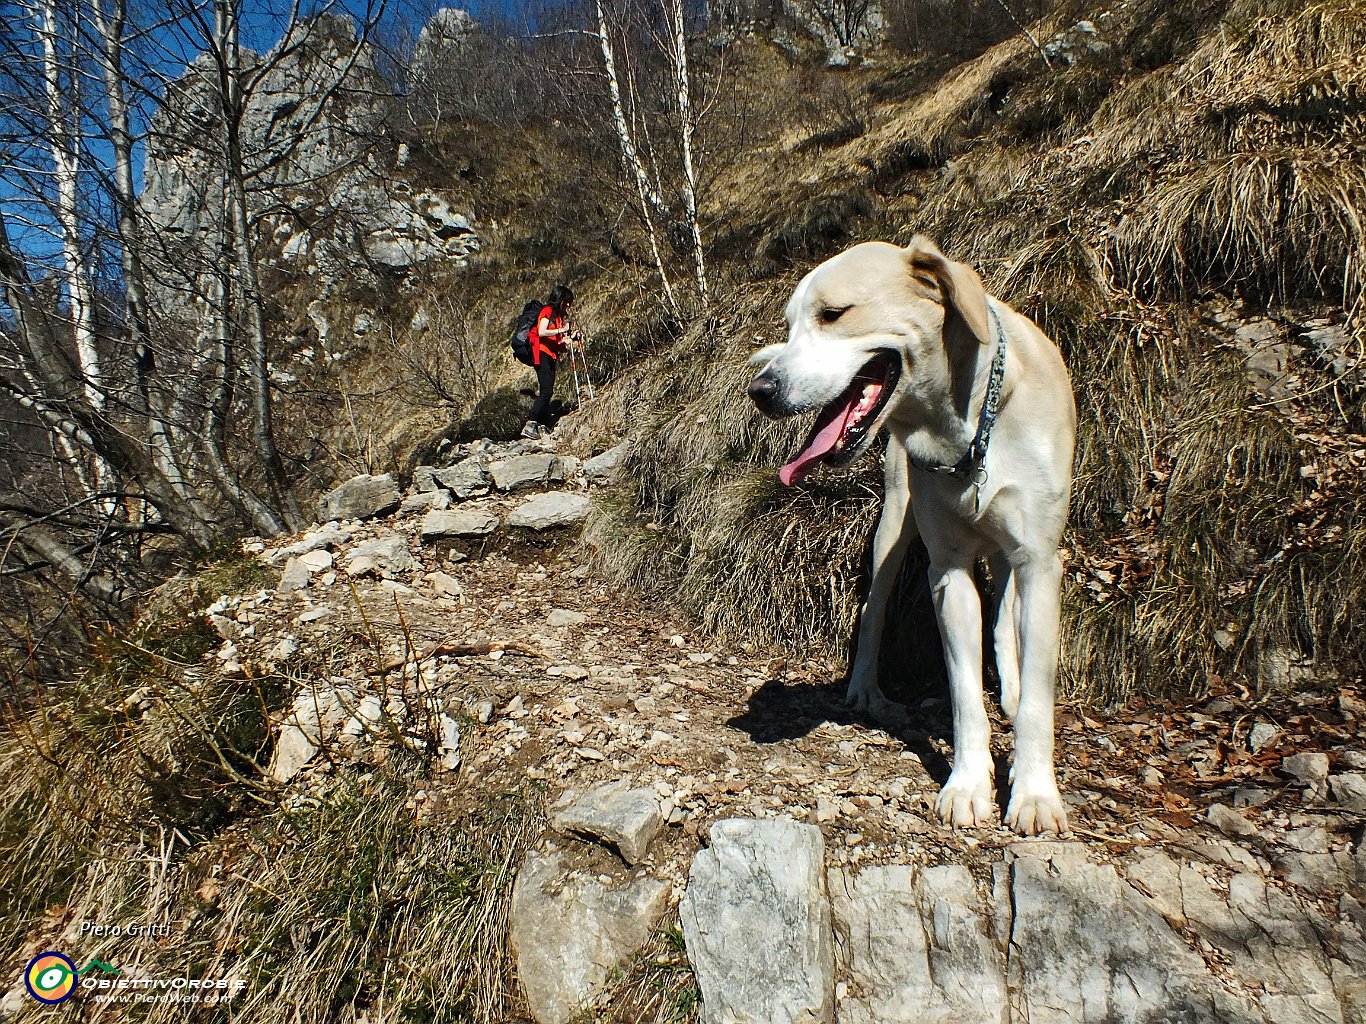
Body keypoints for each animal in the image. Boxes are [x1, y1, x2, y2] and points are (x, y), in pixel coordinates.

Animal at [748, 238, 1076, 835]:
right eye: (789, 326)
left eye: (833, 314)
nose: (760, 390)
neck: (970, 430)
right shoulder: (947, 571)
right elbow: (964, 695)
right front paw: (968, 785)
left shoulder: (1040, 562)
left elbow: (1038, 697)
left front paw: (1035, 792)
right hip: (893, 529)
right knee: (873, 608)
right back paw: (865, 688)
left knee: (1005, 611)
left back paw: (1011, 688)